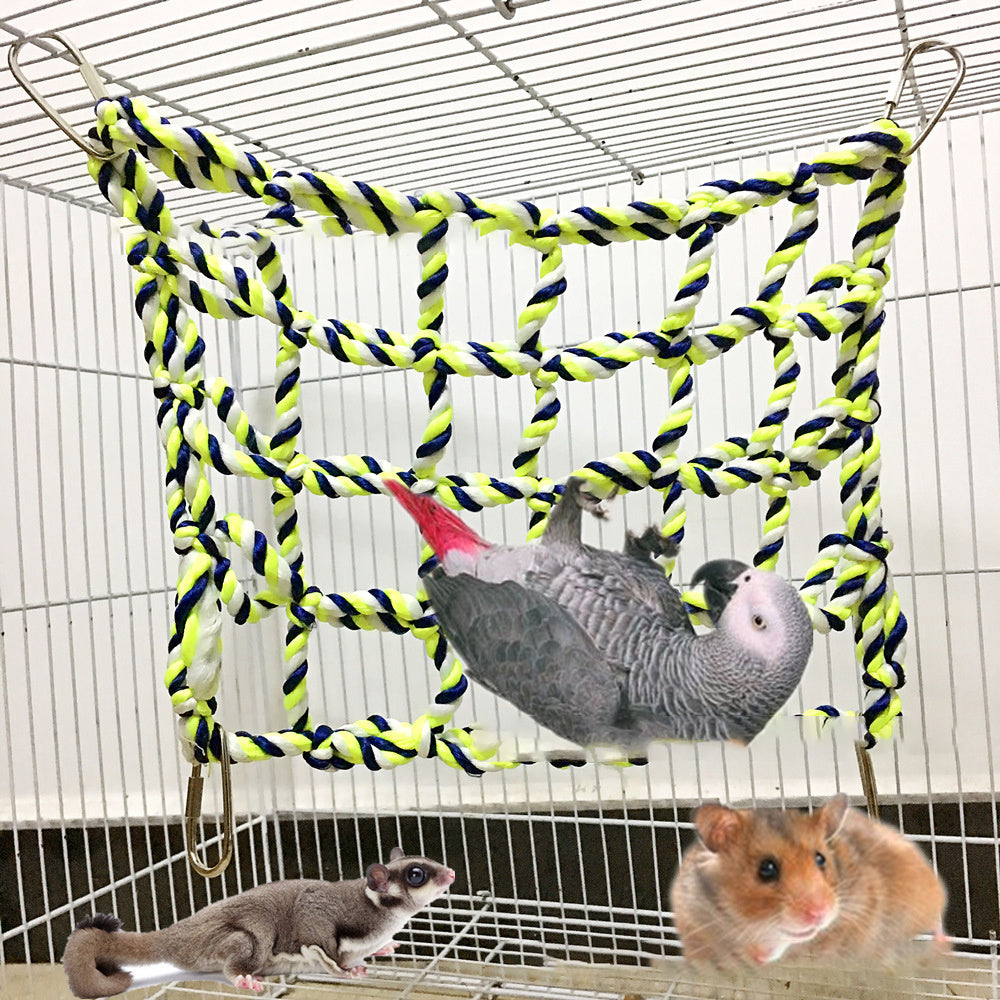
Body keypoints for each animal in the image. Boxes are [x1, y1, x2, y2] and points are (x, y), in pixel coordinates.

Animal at [63, 847, 455, 997]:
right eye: (416, 874)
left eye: (425, 860)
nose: (451, 873)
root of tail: (176, 935)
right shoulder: (321, 914)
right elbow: (321, 943)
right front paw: (345, 970)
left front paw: (386, 947)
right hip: (240, 940)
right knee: (242, 951)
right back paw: (244, 978)